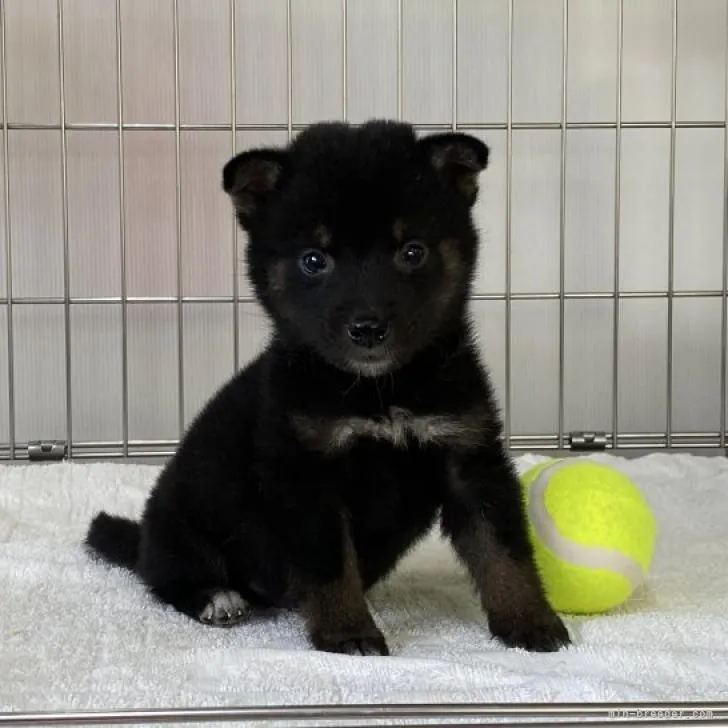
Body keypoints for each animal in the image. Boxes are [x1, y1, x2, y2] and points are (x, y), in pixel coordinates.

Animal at [86, 118, 568, 656]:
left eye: (413, 251)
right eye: (314, 260)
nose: (368, 328)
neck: (380, 392)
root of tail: (142, 538)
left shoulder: (469, 454)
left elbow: (503, 550)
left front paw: (528, 619)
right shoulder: (306, 473)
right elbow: (332, 565)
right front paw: (347, 631)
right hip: (181, 522)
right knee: (166, 577)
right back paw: (216, 597)